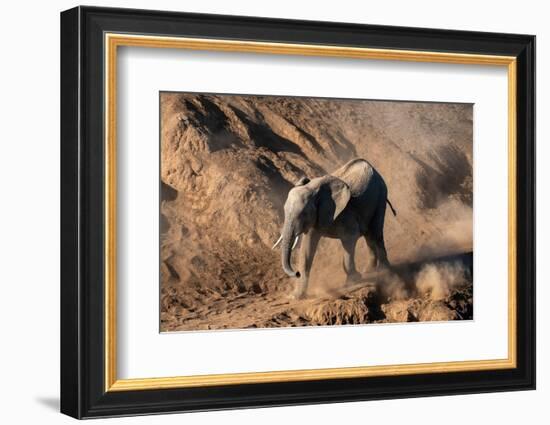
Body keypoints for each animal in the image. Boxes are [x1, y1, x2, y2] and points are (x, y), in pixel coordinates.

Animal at [272, 157, 396, 300]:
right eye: (285, 210)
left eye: (304, 213)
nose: (296, 273)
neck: (313, 189)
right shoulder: (318, 217)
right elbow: (307, 247)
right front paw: (296, 296)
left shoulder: (345, 212)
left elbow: (350, 238)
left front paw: (353, 282)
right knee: (369, 236)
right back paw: (370, 272)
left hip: (381, 195)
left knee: (376, 233)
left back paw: (383, 272)